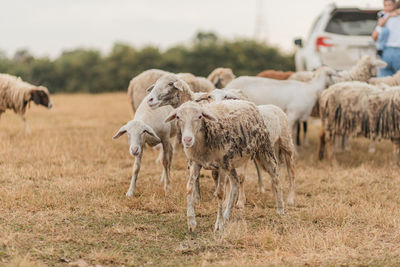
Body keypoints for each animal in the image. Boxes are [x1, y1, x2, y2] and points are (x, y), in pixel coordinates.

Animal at [164, 100, 282, 232]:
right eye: (178, 117)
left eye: (200, 116)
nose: (187, 139)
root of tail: (247, 102)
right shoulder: (195, 163)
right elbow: (189, 188)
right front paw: (191, 222)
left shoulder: (221, 166)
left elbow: (220, 193)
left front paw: (218, 224)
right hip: (230, 163)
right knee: (235, 184)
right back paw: (226, 215)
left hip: (263, 149)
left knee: (275, 177)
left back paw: (280, 209)